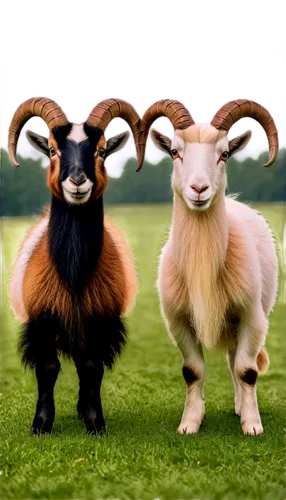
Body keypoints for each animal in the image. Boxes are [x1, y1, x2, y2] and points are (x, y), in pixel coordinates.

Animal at [8, 95, 143, 436]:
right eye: (53, 150)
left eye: (102, 151)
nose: (78, 181)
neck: (73, 274)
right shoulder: (41, 319)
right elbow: (48, 368)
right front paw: (41, 425)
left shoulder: (99, 320)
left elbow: (91, 368)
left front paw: (96, 423)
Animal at [137, 99, 278, 436]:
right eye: (175, 151)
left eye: (224, 153)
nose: (198, 189)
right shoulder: (178, 321)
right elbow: (193, 371)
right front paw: (190, 422)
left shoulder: (252, 317)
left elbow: (247, 370)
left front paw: (252, 425)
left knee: (237, 361)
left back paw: (240, 407)